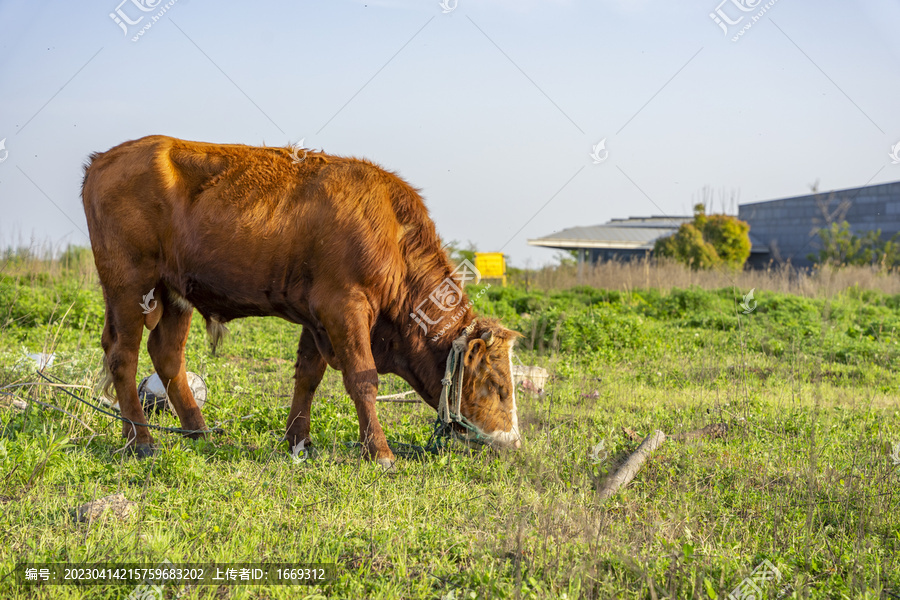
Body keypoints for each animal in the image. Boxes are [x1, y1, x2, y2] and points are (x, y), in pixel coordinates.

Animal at [83, 136, 524, 468]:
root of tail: (103, 159)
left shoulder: (317, 317)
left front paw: (298, 441)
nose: (514, 442)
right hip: (129, 286)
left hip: (174, 295)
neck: (391, 232)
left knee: (168, 356)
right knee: (123, 356)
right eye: (497, 385)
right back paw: (141, 440)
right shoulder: (344, 307)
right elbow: (363, 378)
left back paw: (195, 432)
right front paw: (379, 452)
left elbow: (307, 377)